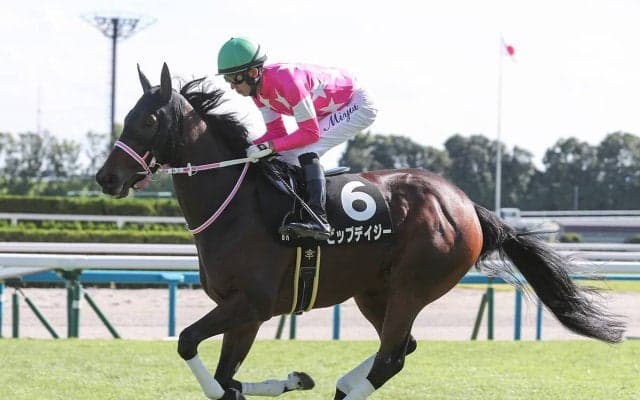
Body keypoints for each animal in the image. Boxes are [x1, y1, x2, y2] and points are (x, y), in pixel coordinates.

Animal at [96, 63, 625, 400]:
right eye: (126, 117)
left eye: (148, 119)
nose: (106, 177)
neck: (236, 204)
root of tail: (467, 205)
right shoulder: (242, 312)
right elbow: (226, 379)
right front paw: (293, 379)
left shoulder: (251, 304)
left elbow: (190, 345)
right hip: (374, 292)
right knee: (400, 349)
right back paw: (339, 384)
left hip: (413, 285)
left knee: (391, 357)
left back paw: (347, 388)